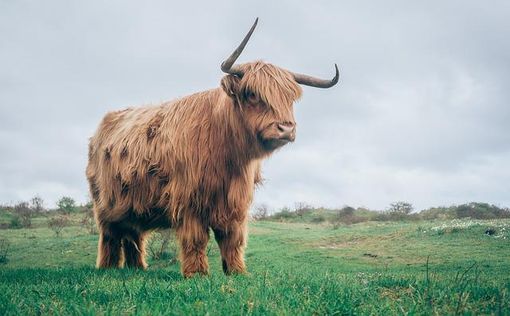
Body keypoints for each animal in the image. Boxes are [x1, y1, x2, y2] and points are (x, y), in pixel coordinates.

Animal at [85, 19, 338, 276]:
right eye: (252, 94)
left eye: (289, 98)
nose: (286, 129)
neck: (228, 155)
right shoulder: (189, 199)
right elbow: (196, 239)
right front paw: (197, 274)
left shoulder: (235, 202)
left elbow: (232, 239)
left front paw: (237, 271)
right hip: (105, 204)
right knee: (110, 236)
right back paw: (107, 268)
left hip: (132, 205)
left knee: (133, 235)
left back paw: (137, 268)